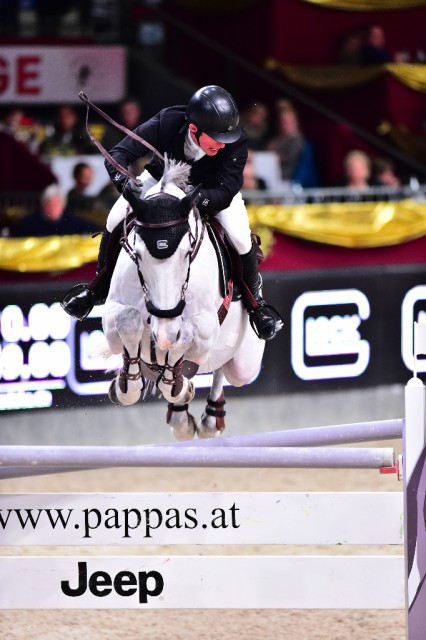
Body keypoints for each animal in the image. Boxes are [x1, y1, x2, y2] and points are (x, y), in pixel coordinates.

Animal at [101, 159, 264, 440]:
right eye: (137, 253)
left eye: (188, 252)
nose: (166, 328)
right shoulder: (113, 315)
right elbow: (129, 321)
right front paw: (124, 386)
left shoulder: (206, 328)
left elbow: (186, 337)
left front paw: (181, 381)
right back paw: (180, 414)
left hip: (245, 363)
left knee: (223, 368)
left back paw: (211, 417)